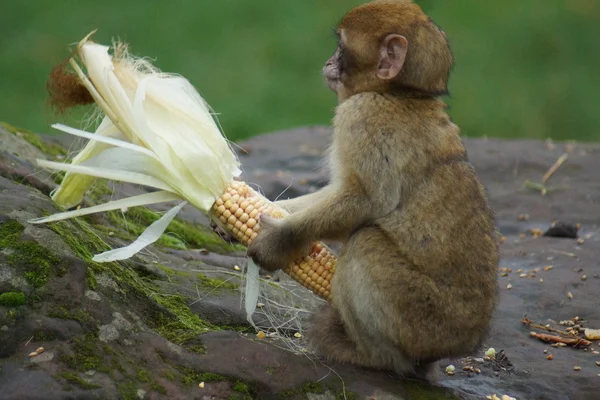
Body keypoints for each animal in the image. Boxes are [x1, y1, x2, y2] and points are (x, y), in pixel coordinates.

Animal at [246, 0, 500, 378]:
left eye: (341, 47)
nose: (328, 62)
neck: (399, 93)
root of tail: (461, 344)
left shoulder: (361, 116)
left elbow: (365, 202)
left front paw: (279, 240)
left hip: (421, 320)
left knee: (365, 243)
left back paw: (371, 356)